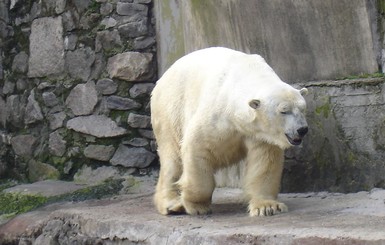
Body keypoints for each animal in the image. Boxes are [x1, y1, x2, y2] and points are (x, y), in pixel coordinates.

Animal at [150, 47, 306, 217]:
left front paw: (267, 207)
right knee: (172, 158)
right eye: (284, 111)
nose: (302, 129)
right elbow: (197, 147)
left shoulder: (260, 133)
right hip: (170, 110)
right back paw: (172, 205)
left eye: (303, 108)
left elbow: (264, 162)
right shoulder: (216, 115)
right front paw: (196, 205)